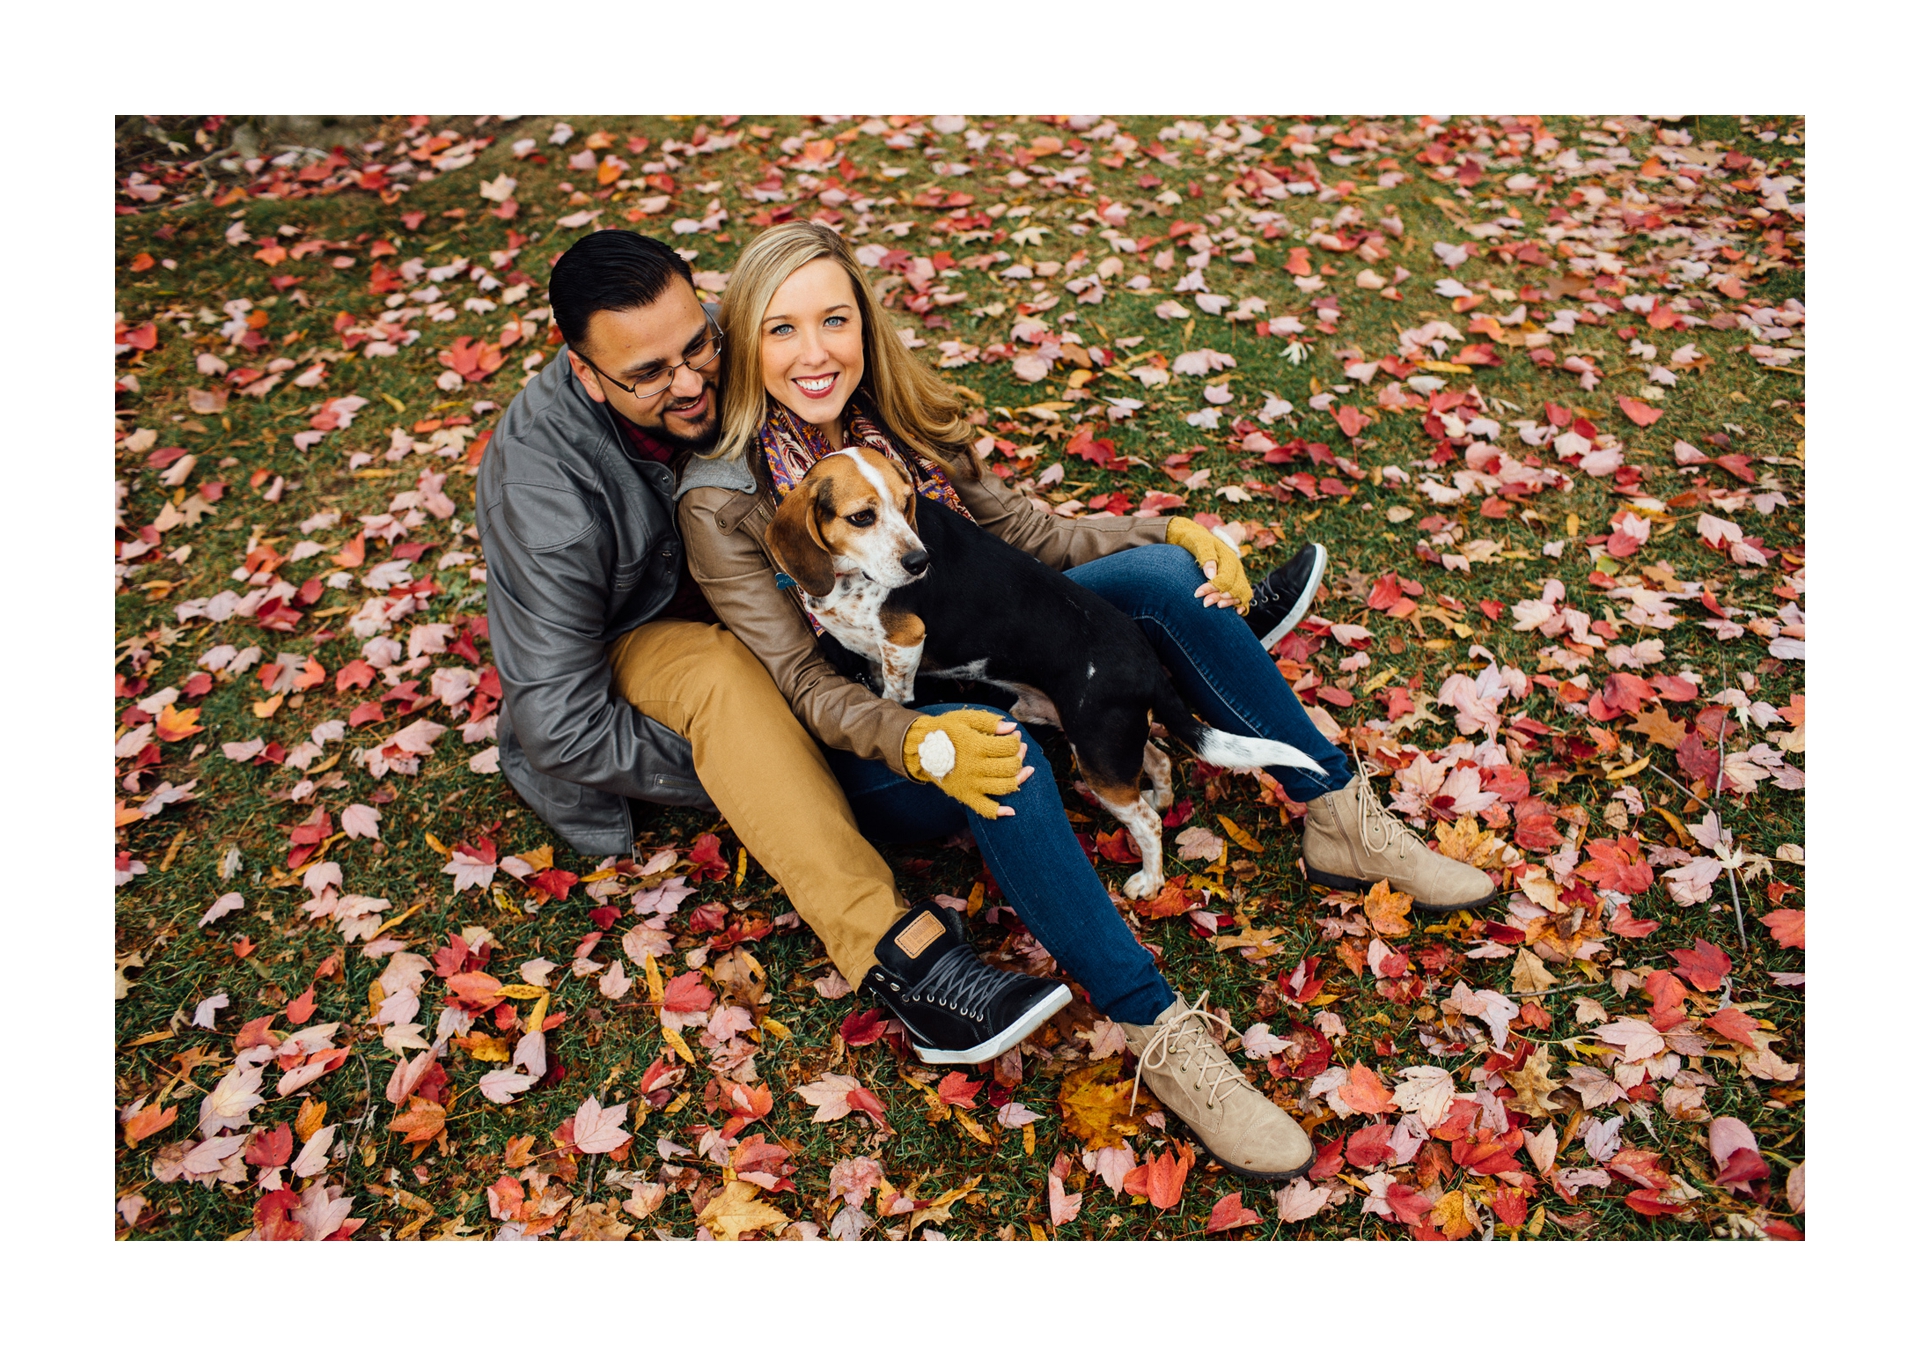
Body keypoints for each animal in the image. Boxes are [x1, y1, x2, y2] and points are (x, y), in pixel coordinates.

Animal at [764, 443, 1320, 902]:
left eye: (906, 506)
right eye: (862, 517)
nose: (920, 562)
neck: (846, 576)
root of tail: (1147, 666)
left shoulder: (904, 644)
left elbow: (894, 696)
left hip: (1097, 756)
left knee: (1144, 822)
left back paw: (1150, 879)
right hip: (1105, 739)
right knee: (1159, 762)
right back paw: (1162, 799)